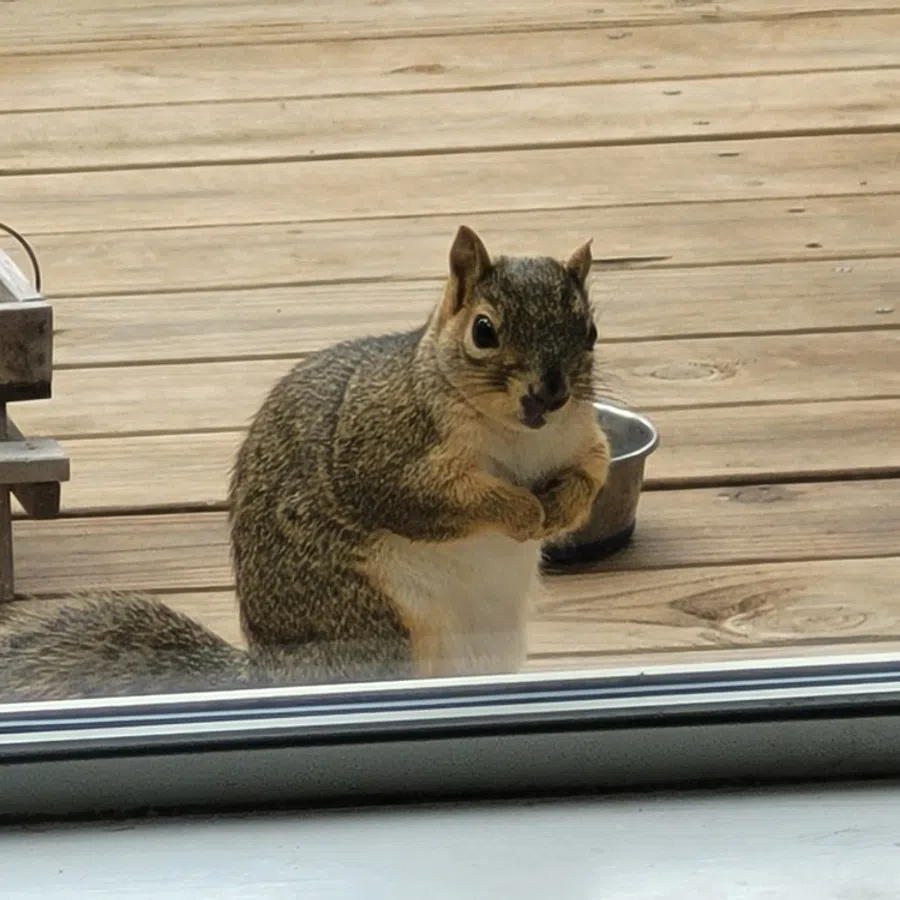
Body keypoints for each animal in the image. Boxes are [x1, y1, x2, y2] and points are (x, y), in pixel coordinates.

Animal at [0, 226, 610, 702]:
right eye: (484, 331)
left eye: (591, 332)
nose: (550, 393)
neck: (519, 437)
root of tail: (272, 677)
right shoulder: (382, 450)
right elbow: (431, 500)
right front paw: (522, 511)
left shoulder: (583, 438)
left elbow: (592, 473)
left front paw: (561, 508)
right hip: (372, 623)